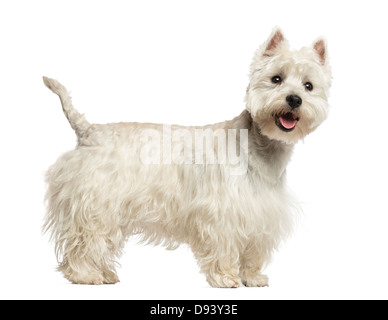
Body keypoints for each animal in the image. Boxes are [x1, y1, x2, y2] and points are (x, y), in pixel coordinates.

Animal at [44, 28, 332, 288]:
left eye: (308, 86)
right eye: (276, 79)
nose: (294, 99)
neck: (260, 146)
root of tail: (88, 130)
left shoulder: (261, 212)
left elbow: (253, 250)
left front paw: (252, 278)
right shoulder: (221, 212)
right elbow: (224, 246)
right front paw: (226, 278)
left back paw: (105, 274)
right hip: (95, 203)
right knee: (84, 240)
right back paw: (85, 275)